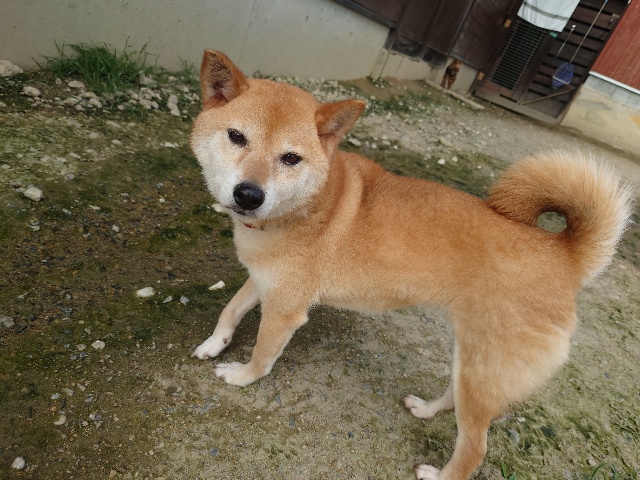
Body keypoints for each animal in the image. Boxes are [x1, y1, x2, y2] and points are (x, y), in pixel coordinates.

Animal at [190, 50, 632, 480]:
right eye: (236, 136)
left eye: (291, 158)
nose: (249, 195)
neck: (306, 206)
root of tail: (564, 252)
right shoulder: (264, 279)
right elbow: (231, 309)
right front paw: (215, 343)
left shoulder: (285, 309)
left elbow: (262, 356)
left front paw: (240, 376)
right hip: (470, 362)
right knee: (455, 400)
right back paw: (425, 409)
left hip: (484, 371)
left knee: (475, 448)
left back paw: (437, 474)